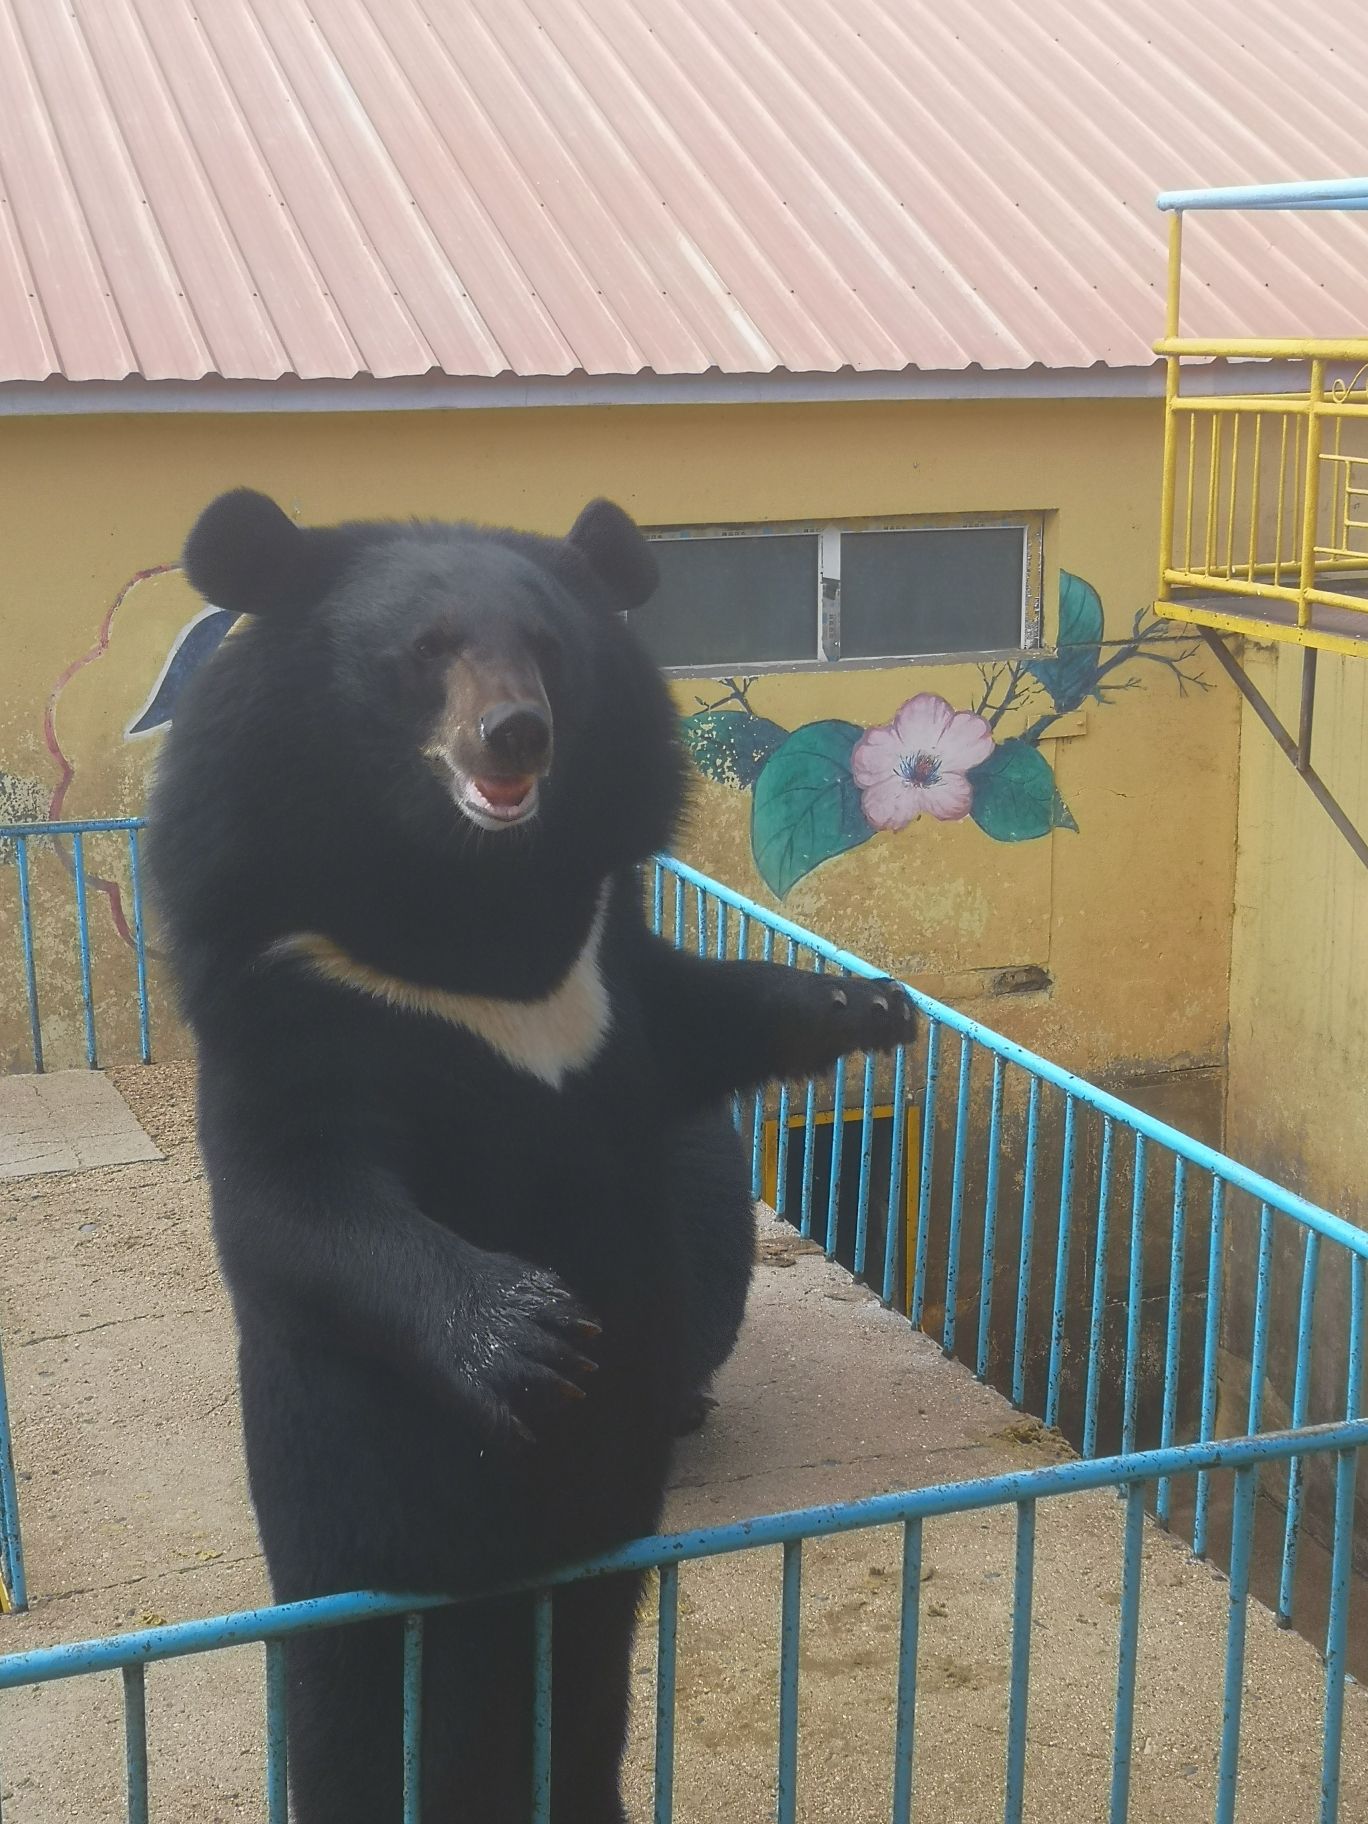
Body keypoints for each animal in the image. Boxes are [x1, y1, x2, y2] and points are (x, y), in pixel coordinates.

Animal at [145, 489, 916, 1824]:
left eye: (550, 649)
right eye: (425, 651)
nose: (516, 736)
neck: (473, 910)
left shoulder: (609, 980)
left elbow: (710, 1015)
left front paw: (870, 1006)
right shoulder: (293, 990)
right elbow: (300, 1199)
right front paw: (530, 1334)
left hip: (602, 1556)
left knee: (584, 1685)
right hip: (343, 1540)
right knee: (349, 1701)